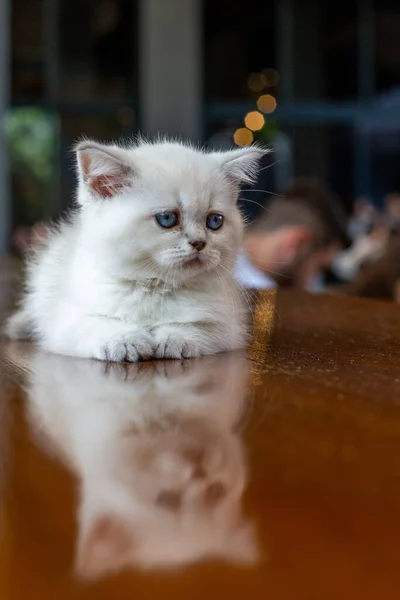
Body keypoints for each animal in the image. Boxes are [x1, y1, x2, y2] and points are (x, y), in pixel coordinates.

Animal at [4, 139, 266, 360]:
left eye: (214, 221)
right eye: (167, 218)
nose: (199, 243)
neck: (154, 286)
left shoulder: (228, 326)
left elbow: (198, 327)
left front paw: (175, 340)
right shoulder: (66, 322)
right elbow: (97, 325)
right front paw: (125, 341)